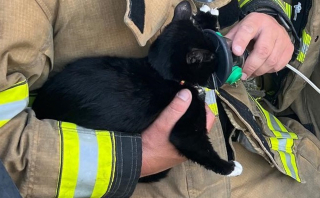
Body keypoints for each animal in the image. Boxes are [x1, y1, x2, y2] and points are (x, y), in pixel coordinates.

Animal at [32, 0, 242, 182]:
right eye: (212, 58)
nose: (225, 53)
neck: (161, 73)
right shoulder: (185, 130)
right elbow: (199, 147)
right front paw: (230, 167)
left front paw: (208, 14)